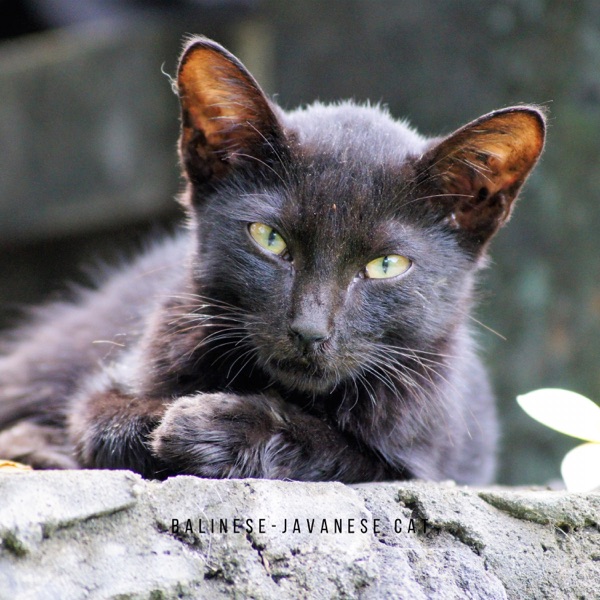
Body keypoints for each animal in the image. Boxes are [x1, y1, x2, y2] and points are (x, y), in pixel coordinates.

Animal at [0, 36, 548, 482]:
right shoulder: (121, 372)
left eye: (386, 265)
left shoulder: (424, 459)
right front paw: (162, 419)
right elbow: (102, 420)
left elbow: (338, 453)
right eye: (270, 239)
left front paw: (212, 428)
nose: (309, 330)